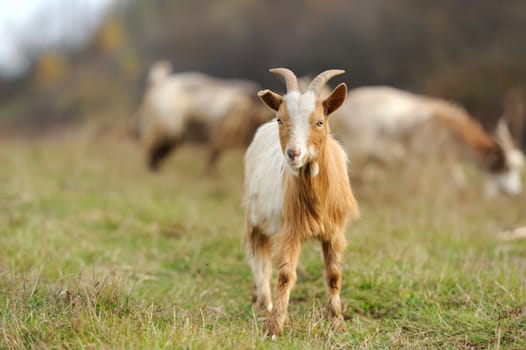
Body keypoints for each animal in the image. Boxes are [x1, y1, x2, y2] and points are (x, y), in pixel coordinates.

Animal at [136, 60, 272, 172]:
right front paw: (209, 173)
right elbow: (213, 155)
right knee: (154, 147)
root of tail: (159, 84)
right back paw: (154, 168)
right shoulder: (219, 134)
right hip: (164, 127)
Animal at [245, 68, 360, 336]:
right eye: (281, 119)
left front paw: (338, 322)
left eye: (319, 121)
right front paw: (274, 327)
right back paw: (264, 305)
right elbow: (286, 275)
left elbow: (333, 275)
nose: (293, 154)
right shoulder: (290, 231)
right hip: (255, 219)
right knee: (259, 260)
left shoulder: (334, 231)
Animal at [332, 87, 524, 197]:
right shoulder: (424, 158)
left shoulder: (445, 161)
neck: (449, 127)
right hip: (357, 150)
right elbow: (422, 183)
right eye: (506, 167)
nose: (516, 192)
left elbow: (459, 184)